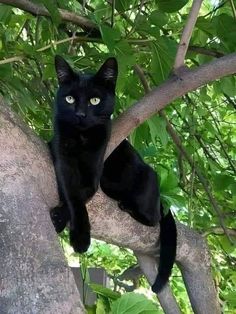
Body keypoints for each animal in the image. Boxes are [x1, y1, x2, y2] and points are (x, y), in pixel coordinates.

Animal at [49, 55, 117, 253]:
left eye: (94, 100)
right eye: (70, 99)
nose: (80, 114)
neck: (82, 137)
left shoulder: (93, 173)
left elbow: (82, 194)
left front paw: (61, 219)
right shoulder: (64, 160)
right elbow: (73, 195)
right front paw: (80, 237)